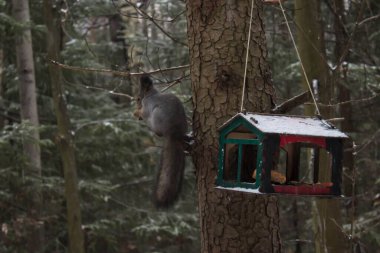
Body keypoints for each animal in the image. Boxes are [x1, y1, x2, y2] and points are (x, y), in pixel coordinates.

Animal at [133, 75, 188, 208]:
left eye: (138, 98)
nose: (136, 104)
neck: (150, 94)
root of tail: (174, 133)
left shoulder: (147, 106)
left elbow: (144, 112)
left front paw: (136, 113)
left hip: (157, 116)